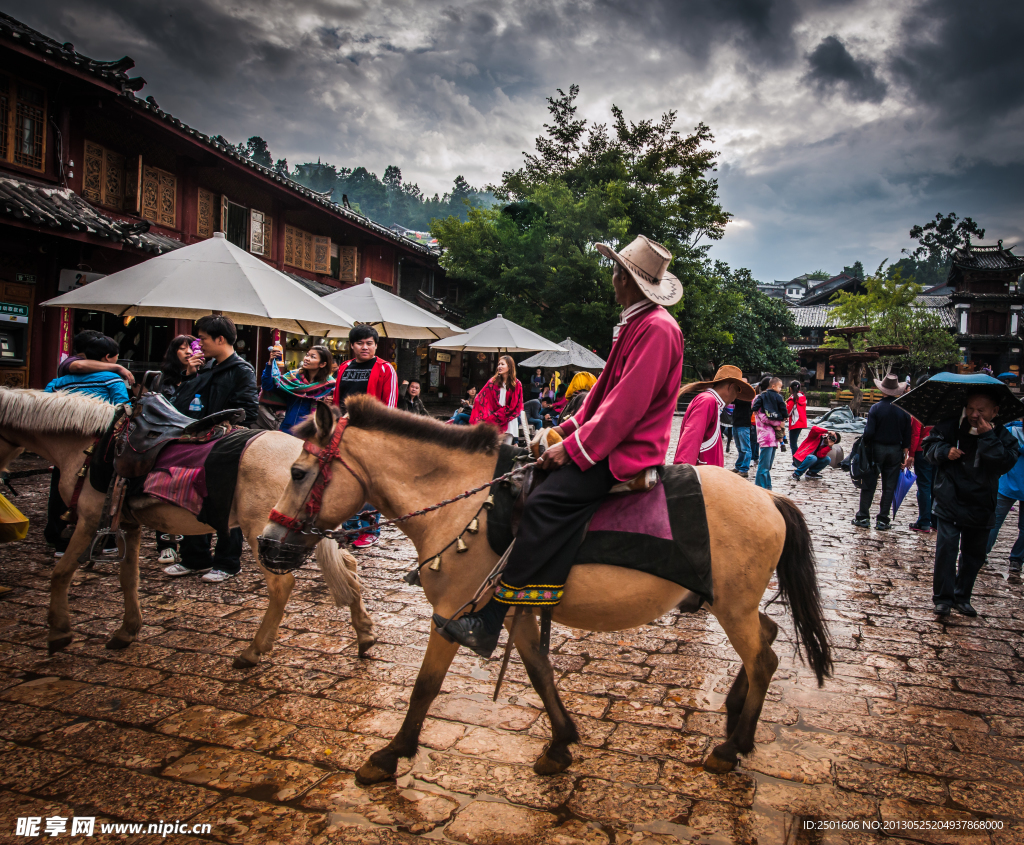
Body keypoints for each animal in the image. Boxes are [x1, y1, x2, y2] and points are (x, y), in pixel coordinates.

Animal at [0, 385, 376, 663]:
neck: (87, 443)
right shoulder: (129, 522)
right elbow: (128, 577)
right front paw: (126, 630)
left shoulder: (90, 517)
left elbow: (61, 572)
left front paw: (59, 632)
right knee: (347, 565)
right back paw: (365, 634)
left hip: (261, 529)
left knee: (282, 586)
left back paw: (253, 651)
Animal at [260, 399, 827, 782]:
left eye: (298, 471)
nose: (267, 545)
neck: (462, 504)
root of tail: (770, 499)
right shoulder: (517, 610)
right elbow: (538, 670)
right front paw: (561, 742)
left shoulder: (453, 611)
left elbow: (425, 687)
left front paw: (390, 753)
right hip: (729, 601)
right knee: (769, 637)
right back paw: (735, 717)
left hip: (731, 605)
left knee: (762, 659)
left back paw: (734, 746)